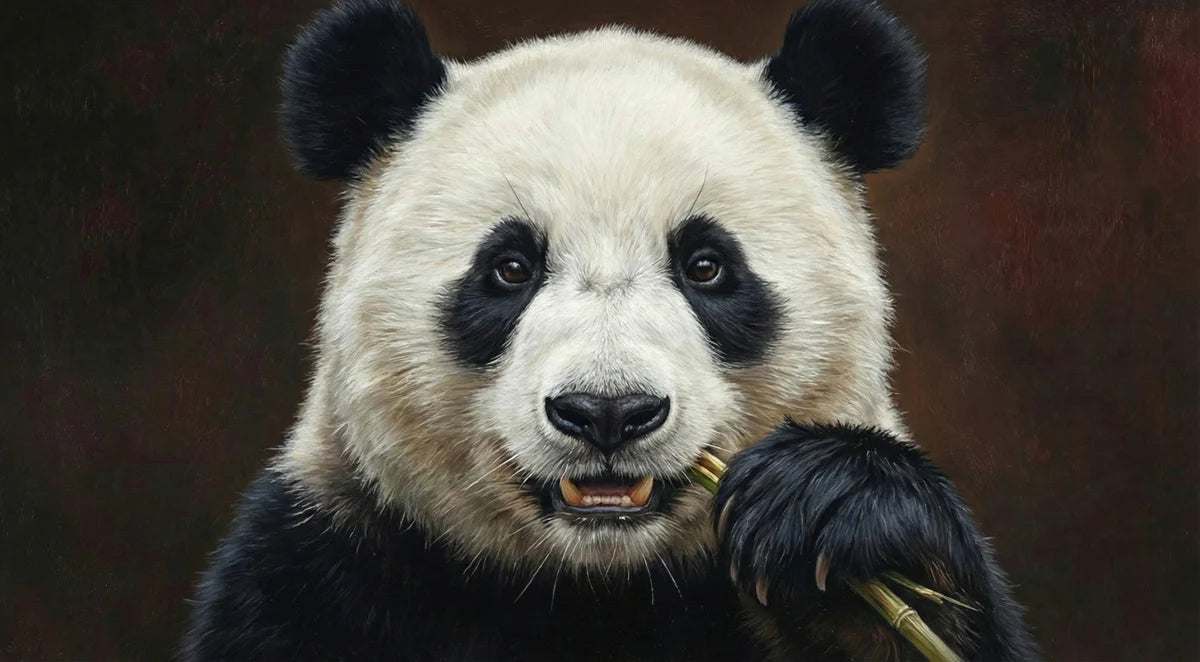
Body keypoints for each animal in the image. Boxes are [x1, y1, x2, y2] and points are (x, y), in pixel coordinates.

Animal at [183, 0, 1037, 660]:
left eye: (706, 266)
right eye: (510, 267)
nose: (607, 412)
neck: (601, 587)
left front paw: (836, 518)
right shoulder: (325, 566)